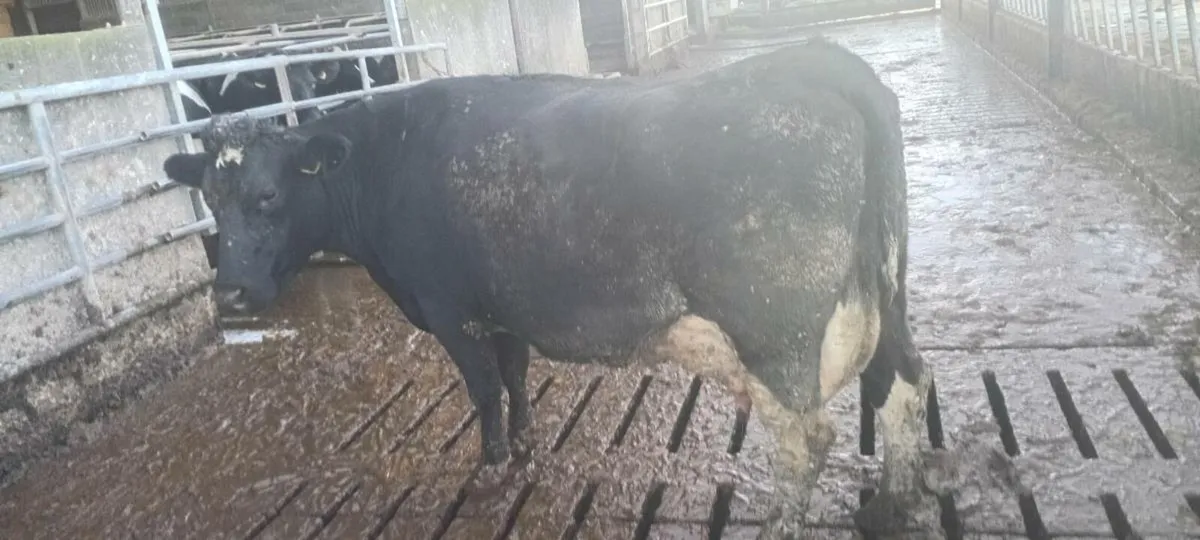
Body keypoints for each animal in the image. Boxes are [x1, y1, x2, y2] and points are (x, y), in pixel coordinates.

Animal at [161, 37, 942, 539]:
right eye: (211, 200)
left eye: (267, 197)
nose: (229, 295)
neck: (387, 159)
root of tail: (822, 60)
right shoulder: (503, 309)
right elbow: (514, 377)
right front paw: (528, 447)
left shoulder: (451, 311)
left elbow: (482, 390)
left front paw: (492, 468)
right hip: (887, 294)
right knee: (905, 380)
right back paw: (891, 507)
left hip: (773, 330)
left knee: (807, 437)